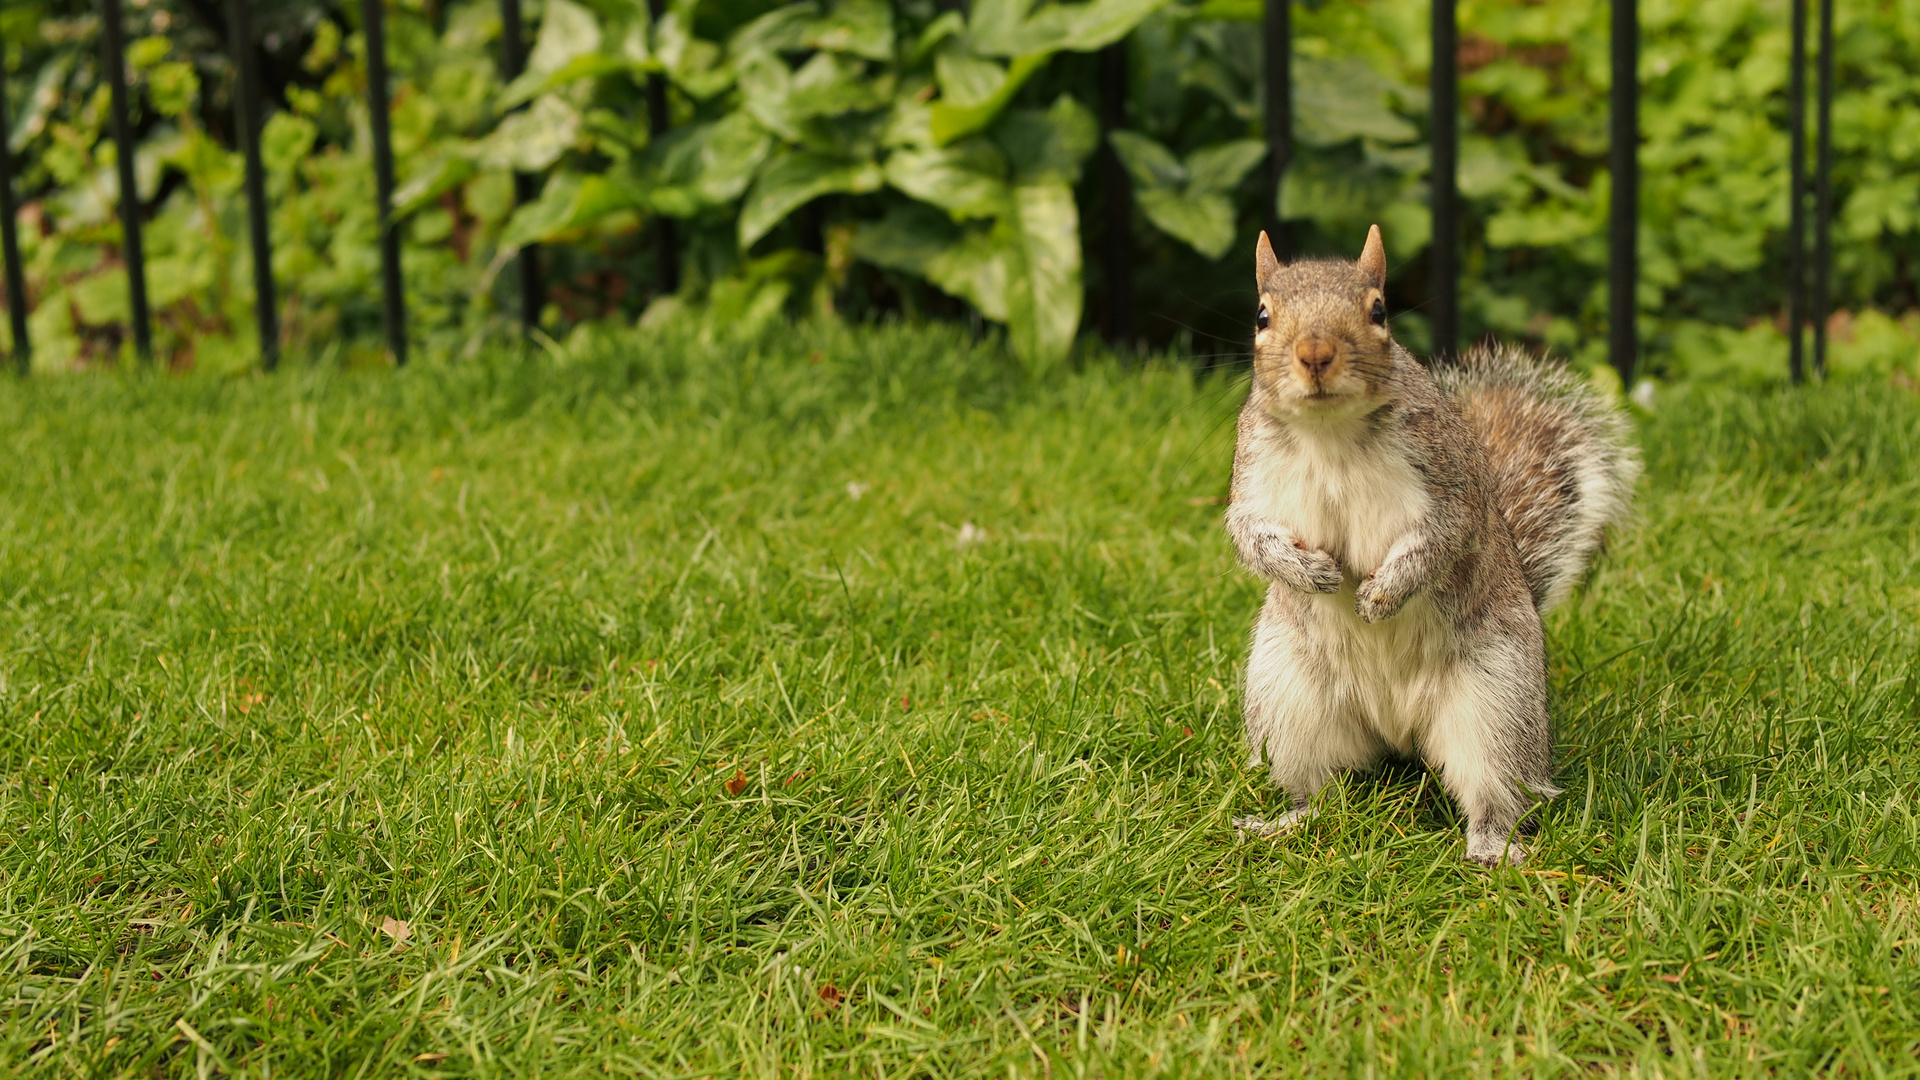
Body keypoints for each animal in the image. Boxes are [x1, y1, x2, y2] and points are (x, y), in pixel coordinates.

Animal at [1228, 226, 1635, 864]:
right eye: (1262, 315)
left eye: (1379, 310)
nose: (1315, 354)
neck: (1330, 431)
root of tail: (1399, 732)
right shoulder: (1251, 473)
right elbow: (1249, 534)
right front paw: (1307, 570)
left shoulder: (1449, 478)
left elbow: (1443, 539)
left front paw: (1382, 595)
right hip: (1290, 698)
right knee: (1319, 790)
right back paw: (1284, 822)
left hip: (1497, 702)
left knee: (1498, 791)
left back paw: (1494, 848)